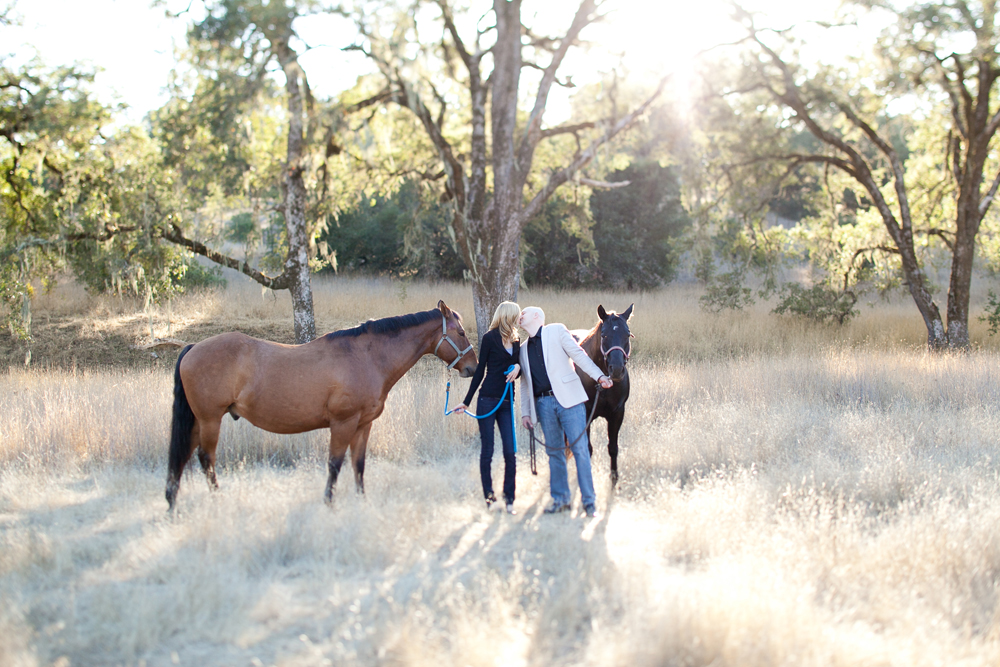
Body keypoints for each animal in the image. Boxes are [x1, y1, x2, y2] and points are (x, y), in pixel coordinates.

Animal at [164, 302, 476, 512]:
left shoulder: (363, 425)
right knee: (206, 458)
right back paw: (216, 499)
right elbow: (335, 464)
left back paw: (172, 505)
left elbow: (358, 465)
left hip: (198, 420)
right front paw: (328, 503)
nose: (472, 367)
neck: (367, 358)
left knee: (182, 457)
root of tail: (193, 348)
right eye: (460, 332)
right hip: (210, 420)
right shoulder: (343, 423)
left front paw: (361, 501)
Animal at [576, 306, 628, 486]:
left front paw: (614, 480)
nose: (617, 369)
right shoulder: (584, 415)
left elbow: (613, 448)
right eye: (604, 335)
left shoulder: (617, 414)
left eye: (627, 334)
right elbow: (587, 448)